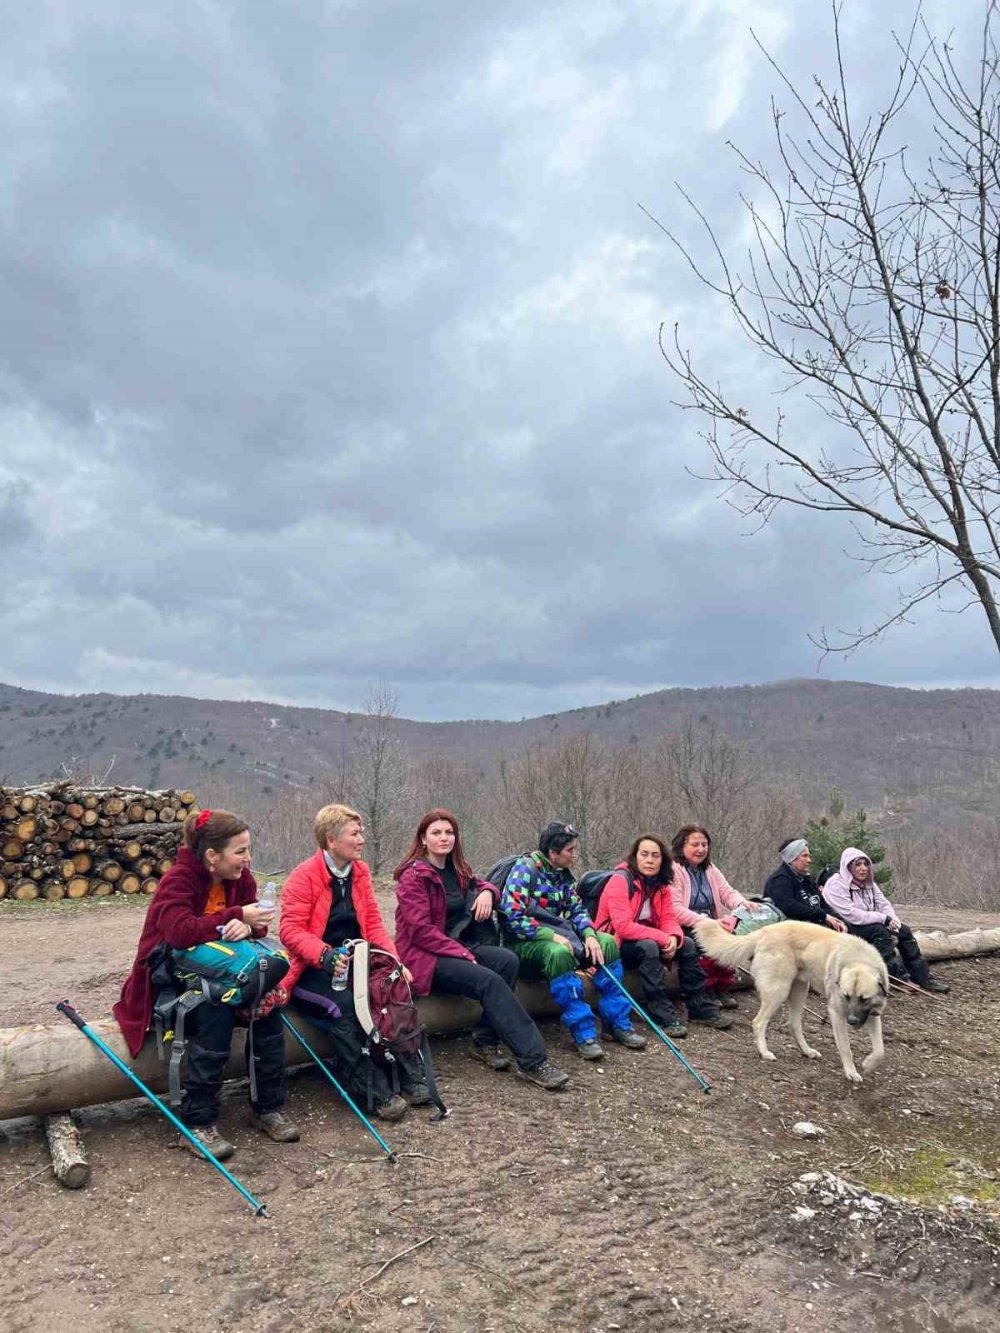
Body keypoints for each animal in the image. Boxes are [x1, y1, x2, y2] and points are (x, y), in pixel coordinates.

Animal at [693, 917, 890, 1082]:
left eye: (864, 999)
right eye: (846, 996)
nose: (852, 1021)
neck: (859, 959)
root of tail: (765, 930)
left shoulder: (871, 1015)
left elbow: (880, 1050)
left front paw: (868, 1064)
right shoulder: (837, 1013)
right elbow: (846, 1048)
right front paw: (851, 1072)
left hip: (799, 991)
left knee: (794, 1024)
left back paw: (806, 1051)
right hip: (779, 991)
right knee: (758, 1022)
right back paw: (764, 1052)